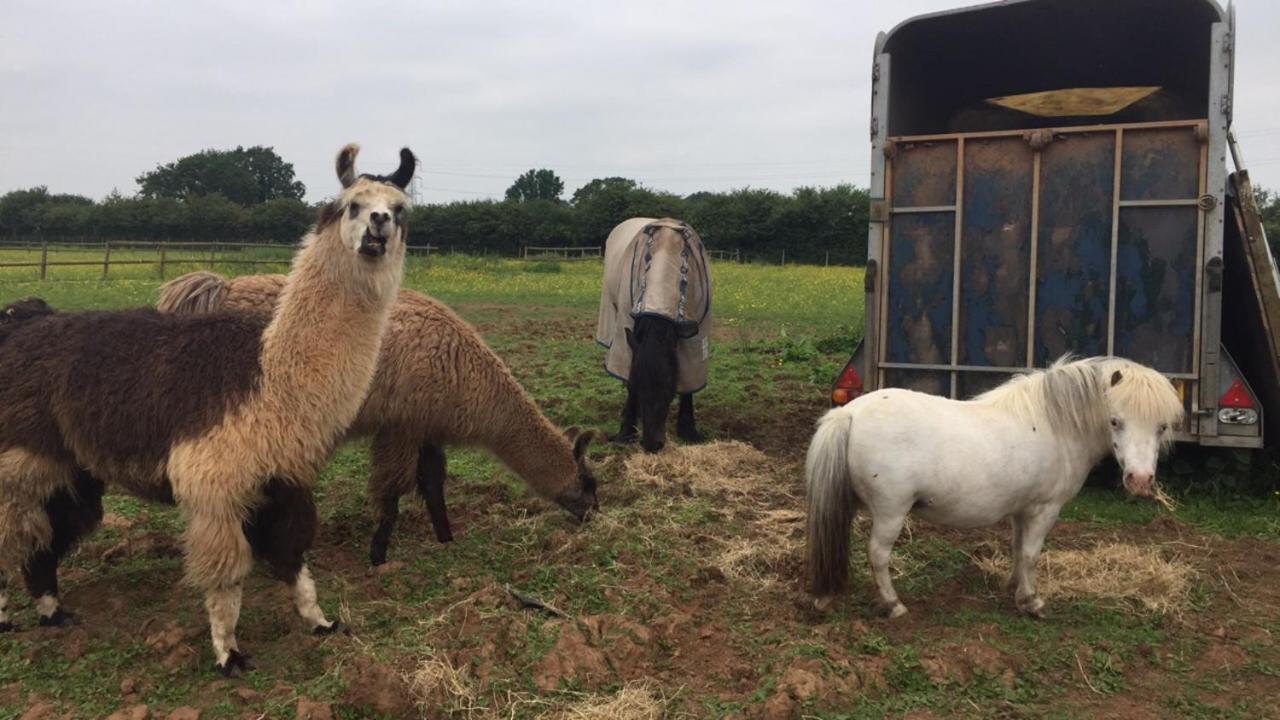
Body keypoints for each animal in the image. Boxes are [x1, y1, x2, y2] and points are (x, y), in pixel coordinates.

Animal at [803, 356, 1182, 614]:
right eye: (1115, 421)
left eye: (1162, 426)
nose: (1140, 481)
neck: (1054, 424)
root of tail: (849, 414)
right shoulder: (1044, 510)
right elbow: (1031, 553)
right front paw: (1031, 601)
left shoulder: (1022, 510)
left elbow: (1018, 549)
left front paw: (1013, 586)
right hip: (890, 513)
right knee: (878, 555)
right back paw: (893, 604)